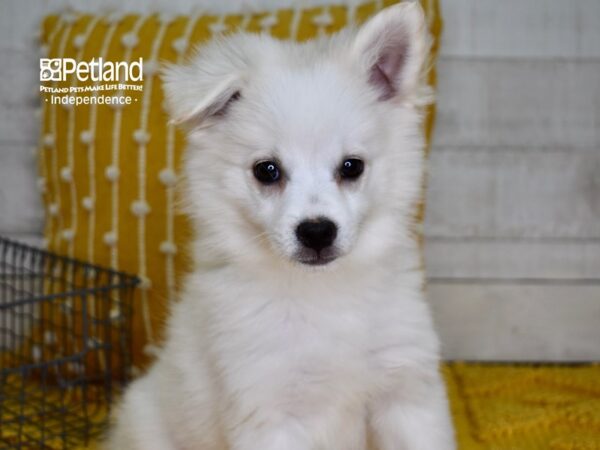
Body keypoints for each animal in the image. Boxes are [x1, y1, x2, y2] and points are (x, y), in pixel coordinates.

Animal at [106, 4, 454, 450]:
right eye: (267, 170)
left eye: (352, 167)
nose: (317, 231)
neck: (323, 292)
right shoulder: (269, 410)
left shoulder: (406, 394)